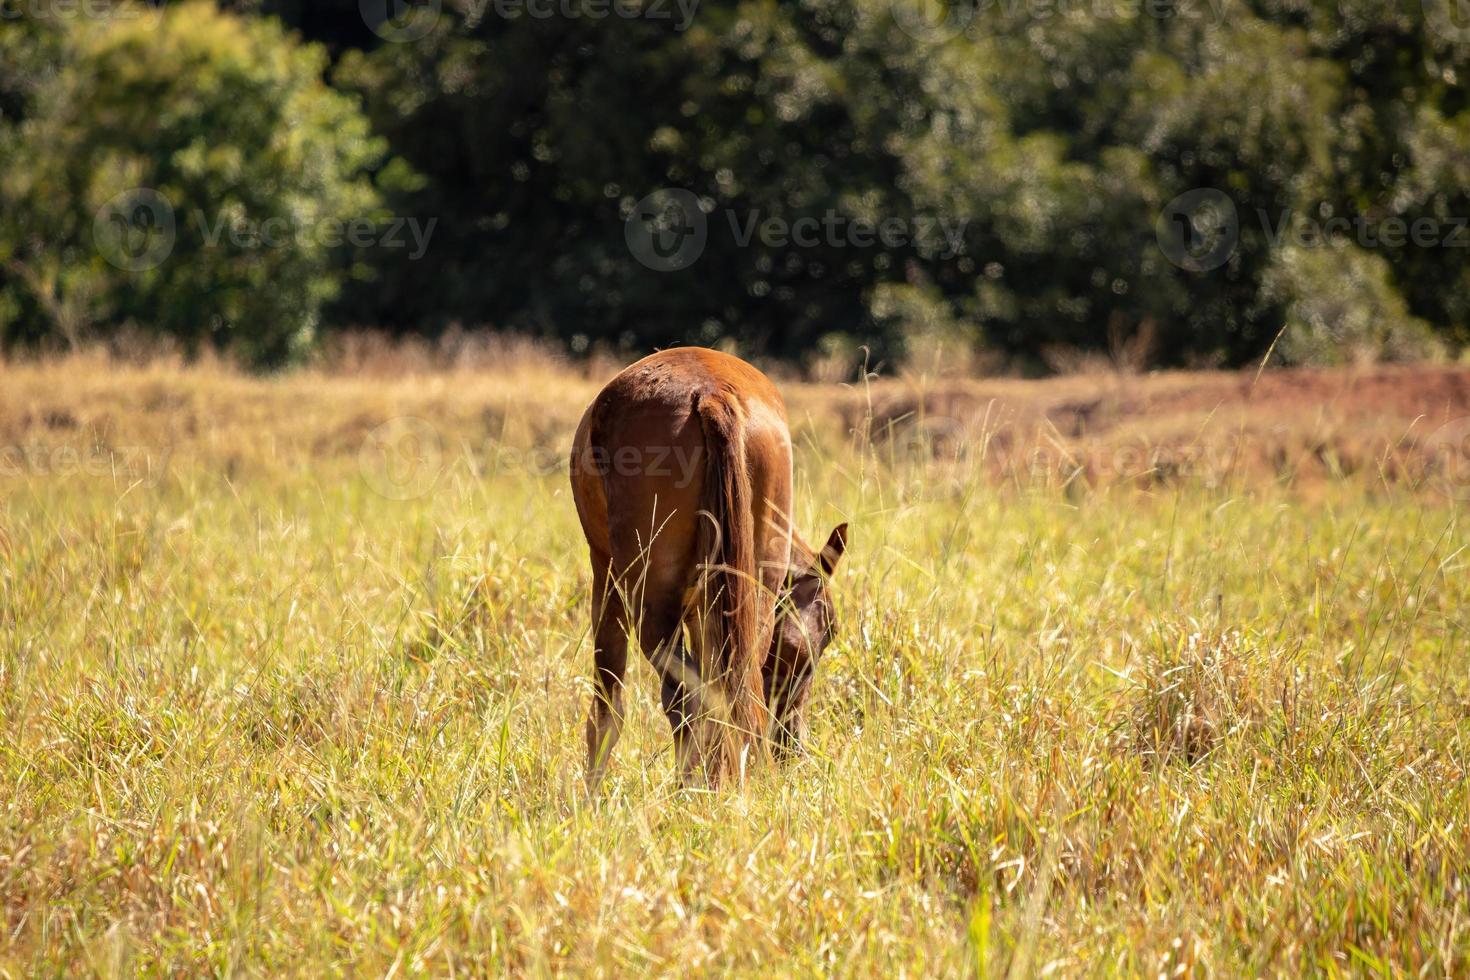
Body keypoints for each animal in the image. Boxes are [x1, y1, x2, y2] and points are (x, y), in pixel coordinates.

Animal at [573, 346, 852, 787]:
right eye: (824, 638)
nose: (791, 746)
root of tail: (711, 394)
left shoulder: (607, 578)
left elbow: (607, 710)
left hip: (650, 601)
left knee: (687, 701)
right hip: (748, 598)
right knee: (729, 697)